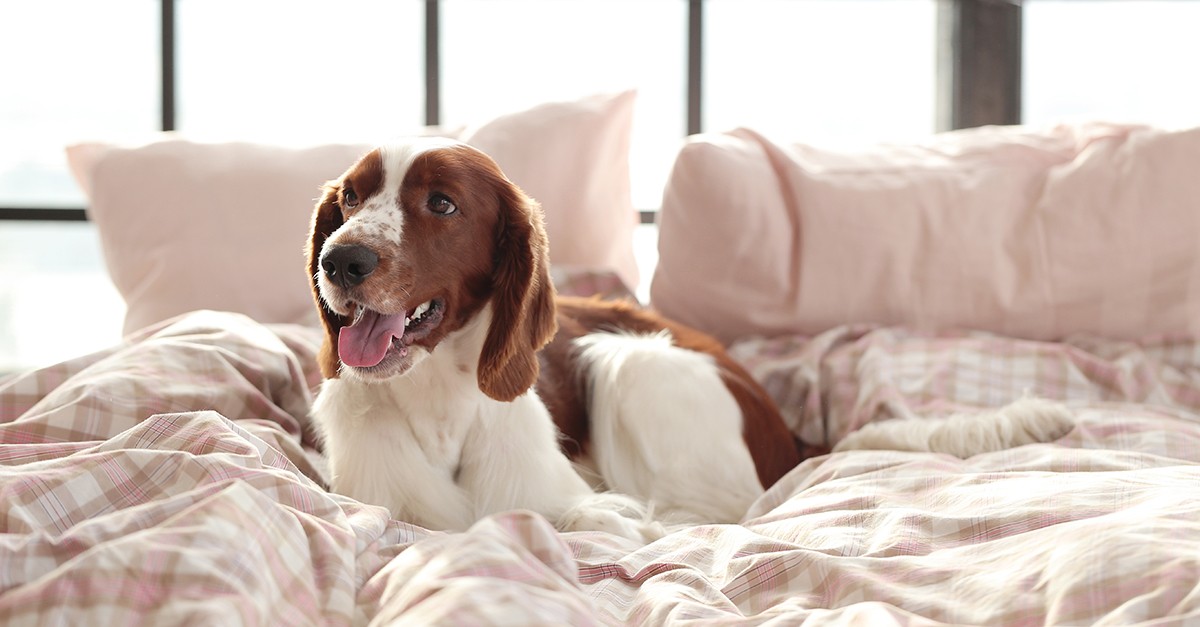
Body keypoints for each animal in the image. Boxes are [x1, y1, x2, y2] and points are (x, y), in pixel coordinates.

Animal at [304, 139, 1075, 538]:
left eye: (442, 203)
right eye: (349, 198)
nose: (339, 261)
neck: (438, 402)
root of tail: (790, 433)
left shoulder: (575, 503)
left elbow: (605, 520)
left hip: (630, 362)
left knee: (725, 513)